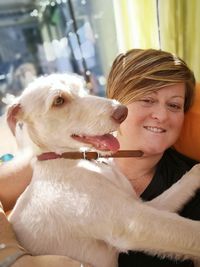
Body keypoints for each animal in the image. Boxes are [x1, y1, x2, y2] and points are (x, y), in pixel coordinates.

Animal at [7, 74, 200, 267]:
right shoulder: (133, 222)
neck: (69, 159)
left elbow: (179, 188)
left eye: (83, 88)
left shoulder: (141, 205)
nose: (123, 111)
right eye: (59, 100)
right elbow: (191, 231)